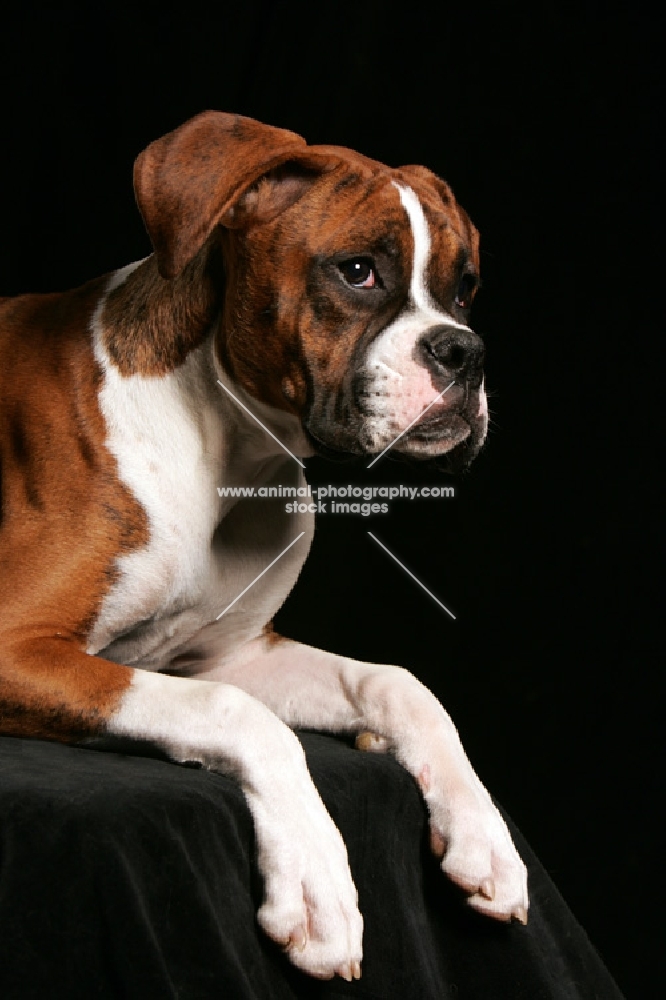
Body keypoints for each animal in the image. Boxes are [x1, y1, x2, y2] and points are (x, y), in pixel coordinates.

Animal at [1, 113, 528, 980]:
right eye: (358, 272)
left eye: (464, 290)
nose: (466, 351)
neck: (228, 454)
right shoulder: (22, 646)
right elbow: (241, 716)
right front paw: (316, 881)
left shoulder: (236, 657)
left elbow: (398, 683)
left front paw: (481, 830)